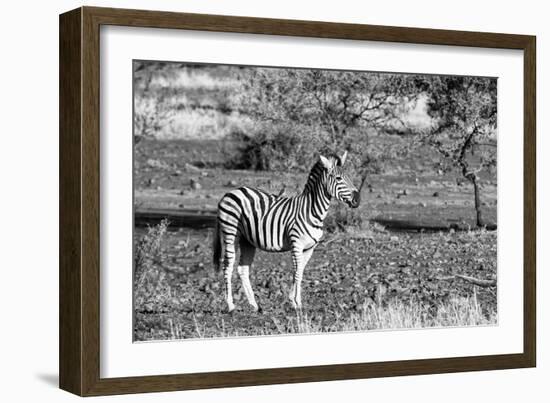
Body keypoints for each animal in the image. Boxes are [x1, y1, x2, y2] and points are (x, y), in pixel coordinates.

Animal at [212, 152, 362, 312]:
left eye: (348, 177)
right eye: (339, 178)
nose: (357, 200)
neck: (312, 211)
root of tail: (230, 192)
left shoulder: (310, 247)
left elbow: (300, 271)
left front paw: (294, 300)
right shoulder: (296, 244)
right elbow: (297, 273)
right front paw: (296, 302)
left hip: (247, 240)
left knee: (242, 269)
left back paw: (254, 305)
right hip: (231, 232)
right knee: (227, 267)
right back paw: (230, 305)